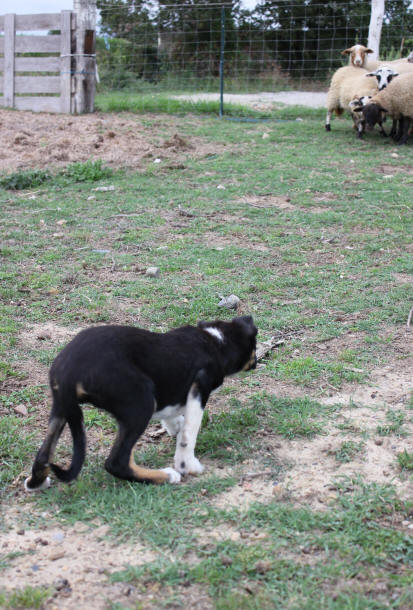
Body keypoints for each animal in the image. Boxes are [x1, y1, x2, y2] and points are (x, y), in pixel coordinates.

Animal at [24, 314, 256, 490]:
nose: (256, 363)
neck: (215, 341)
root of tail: (69, 372)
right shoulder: (200, 386)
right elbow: (189, 432)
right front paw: (187, 465)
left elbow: (173, 414)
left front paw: (175, 426)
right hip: (141, 403)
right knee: (116, 462)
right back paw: (166, 476)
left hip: (61, 409)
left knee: (42, 456)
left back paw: (37, 482)